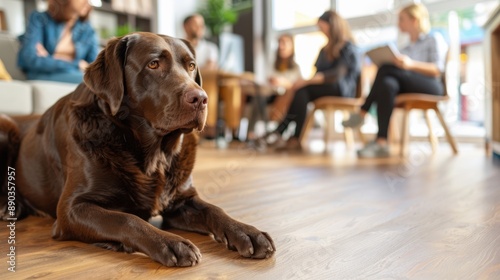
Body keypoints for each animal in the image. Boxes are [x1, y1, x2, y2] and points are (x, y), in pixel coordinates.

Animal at [0, 32, 276, 266]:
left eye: (191, 66)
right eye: (153, 64)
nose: (201, 98)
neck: (155, 154)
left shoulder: (181, 201)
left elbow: (215, 210)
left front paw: (247, 232)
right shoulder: (71, 209)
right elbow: (126, 218)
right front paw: (170, 242)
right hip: (6, 127)